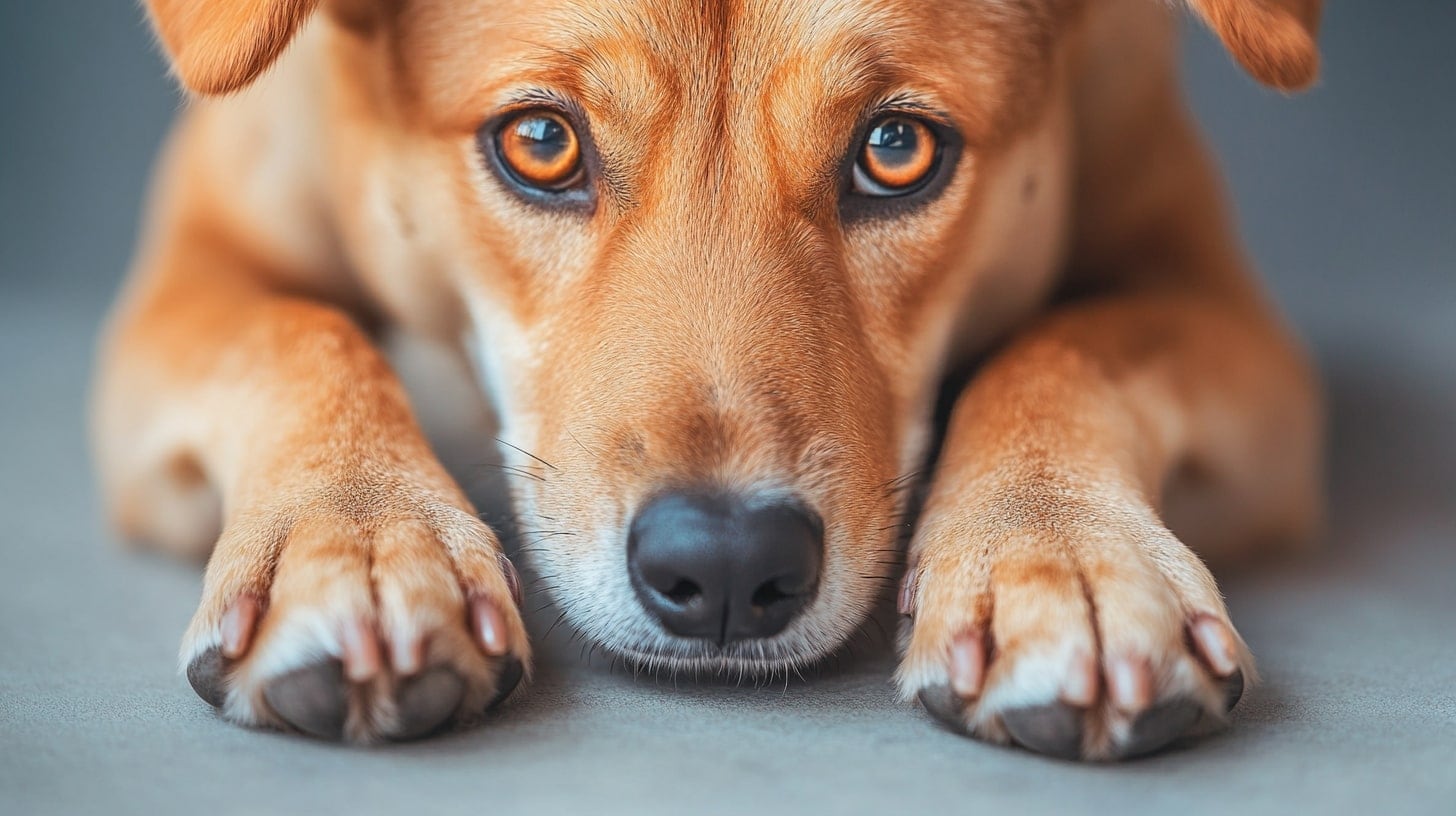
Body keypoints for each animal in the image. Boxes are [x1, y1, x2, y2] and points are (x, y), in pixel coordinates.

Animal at [88, 0, 1322, 757]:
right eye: (540, 142)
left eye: (896, 152)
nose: (727, 567)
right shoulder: (188, 279)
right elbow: (294, 329)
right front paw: (355, 537)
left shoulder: (1228, 318)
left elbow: (1070, 344)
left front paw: (1058, 553)